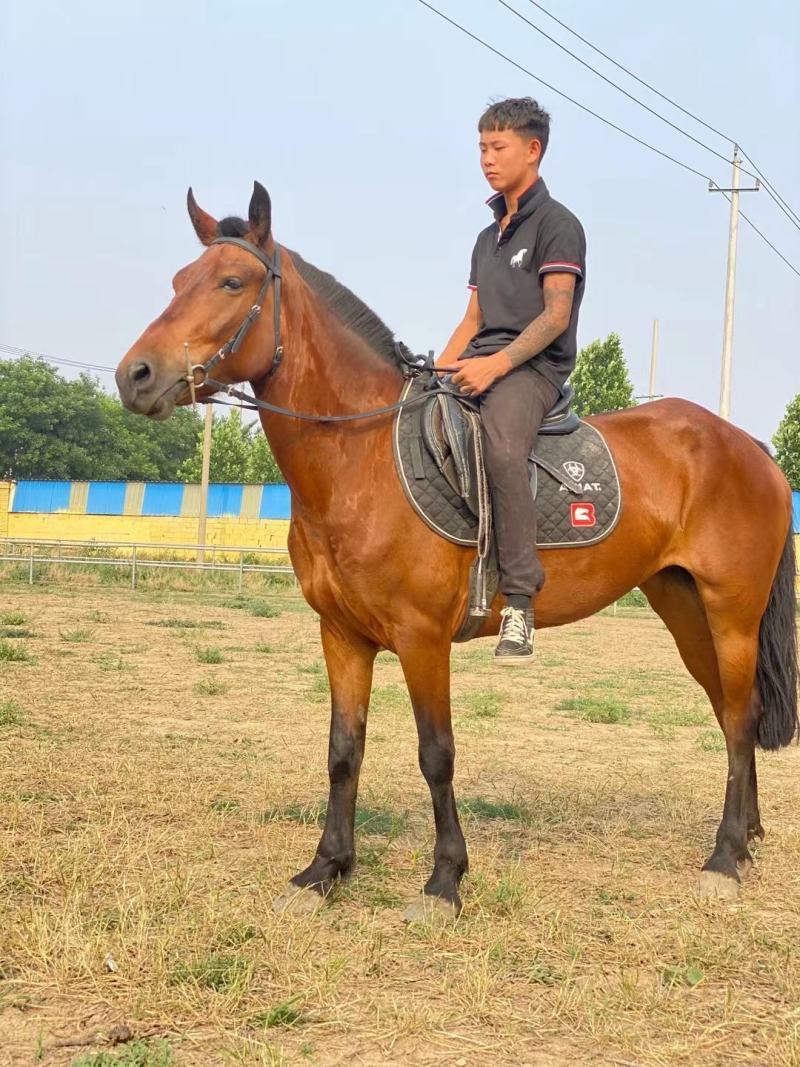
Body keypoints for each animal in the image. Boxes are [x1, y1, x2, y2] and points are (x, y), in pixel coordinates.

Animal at [116, 181, 798, 920]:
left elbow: (435, 752)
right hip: (684, 607)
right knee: (732, 713)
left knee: (739, 718)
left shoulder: (422, 638)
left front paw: (444, 879)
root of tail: (748, 446)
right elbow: (343, 749)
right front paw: (325, 869)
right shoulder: (341, 634)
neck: (362, 458)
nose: (135, 375)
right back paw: (745, 838)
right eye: (179, 281)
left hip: (732, 612)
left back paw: (724, 857)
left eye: (232, 282)